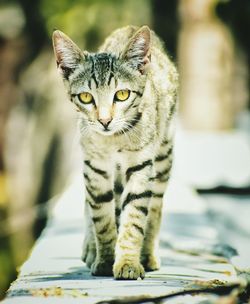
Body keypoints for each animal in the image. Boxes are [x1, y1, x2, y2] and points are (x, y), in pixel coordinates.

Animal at [52, 25, 178, 280]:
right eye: (86, 97)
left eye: (122, 95)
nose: (104, 121)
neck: (114, 140)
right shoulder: (94, 168)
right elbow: (101, 217)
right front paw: (105, 259)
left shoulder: (141, 166)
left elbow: (134, 219)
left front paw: (128, 262)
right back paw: (91, 248)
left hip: (163, 156)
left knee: (155, 207)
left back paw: (147, 254)